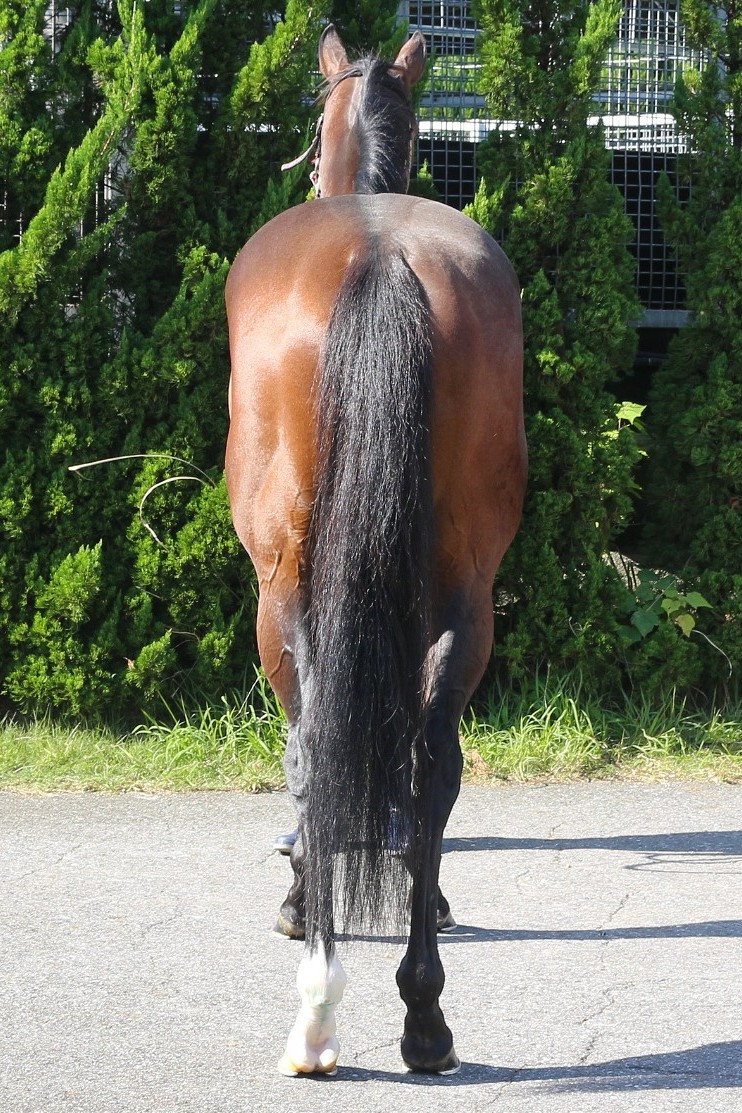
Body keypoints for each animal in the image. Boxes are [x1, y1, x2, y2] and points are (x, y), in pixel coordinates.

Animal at [225, 25, 527, 1077]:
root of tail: (380, 253)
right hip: (466, 592)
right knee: (434, 761)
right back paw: (424, 1014)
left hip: (282, 594)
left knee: (312, 745)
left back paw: (318, 1004)